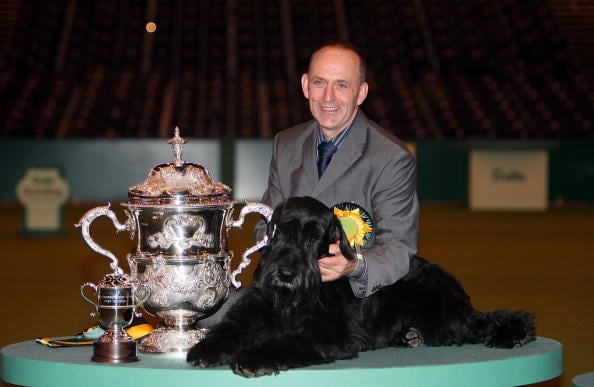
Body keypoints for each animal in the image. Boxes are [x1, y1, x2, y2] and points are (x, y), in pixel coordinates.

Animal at [187, 197, 536, 376]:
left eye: (314, 237)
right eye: (281, 230)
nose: (285, 274)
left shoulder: (328, 334)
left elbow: (287, 341)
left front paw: (253, 358)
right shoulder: (255, 314)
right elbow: (232, 329)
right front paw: (207, 348)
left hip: (442, 315)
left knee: (481, 322)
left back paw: (516, 332)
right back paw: (408, 337)